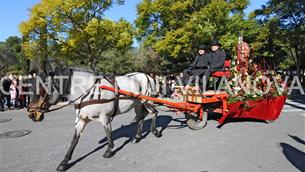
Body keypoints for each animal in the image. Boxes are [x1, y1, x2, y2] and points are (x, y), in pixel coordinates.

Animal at [27, 68, 160, 171]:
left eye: (41, 90)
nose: (32, 114)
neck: (88, 92)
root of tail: (147, 76)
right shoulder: (81, 120)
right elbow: (74, 140)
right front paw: (64, 162)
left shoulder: (105, 117)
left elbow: (108, 134)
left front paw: (109, 150)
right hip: (137, 104)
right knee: (141, 117)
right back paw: (137, 137)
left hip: (147, 101)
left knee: (154, 112)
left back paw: (155, 131)